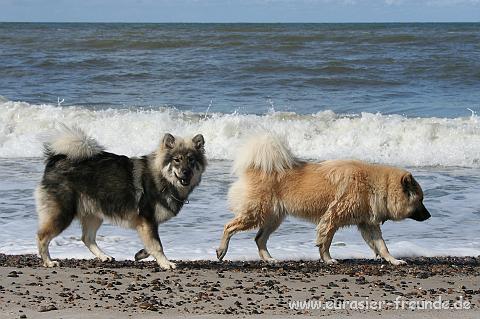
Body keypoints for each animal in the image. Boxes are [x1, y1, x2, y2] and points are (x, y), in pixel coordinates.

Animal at [216, 134, 430, 264]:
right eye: (420, 200)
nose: (429, 216)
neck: (375, 185)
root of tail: (256, 167)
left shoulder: (368, 224)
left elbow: (382, 246)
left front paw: (394, 260)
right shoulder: (332, 218)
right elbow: (326, 241)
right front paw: (327, 259)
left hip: (273, 219)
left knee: (259, 238)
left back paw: (269, 259)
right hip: (255, 213)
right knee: (229, 226)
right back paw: (221, 250)